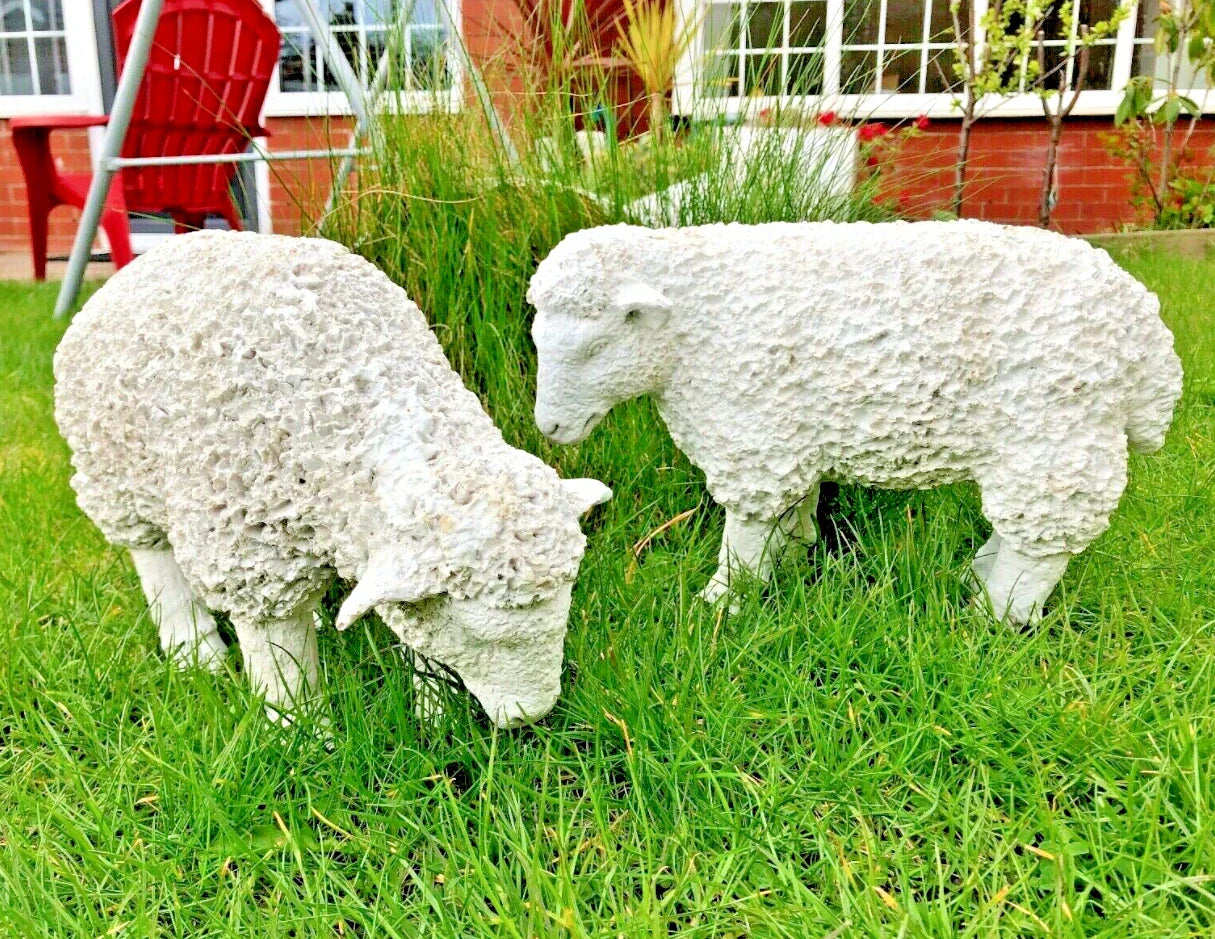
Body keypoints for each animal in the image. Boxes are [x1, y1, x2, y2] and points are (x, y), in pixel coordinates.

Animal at [55, 230, 610, 728]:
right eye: (481, 635)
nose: (528, 717)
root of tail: (139, 263)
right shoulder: (245, 544)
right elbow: (278, 653)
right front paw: (300, 734)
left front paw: (435, 713)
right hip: (116, 473)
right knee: (154, 560)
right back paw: (195, 652)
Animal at [527, 220, 1182, 625]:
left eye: (595, 349)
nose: (549, 429)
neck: (691, 329)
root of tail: (1149, 338)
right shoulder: (786, 438)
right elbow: (791, 514)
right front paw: (792, 564)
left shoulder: (754, 436)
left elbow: (746, 534)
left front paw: (724, 600)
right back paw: (976, 577)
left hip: (1056, 432)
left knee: (1043, 542)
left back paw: (994, 614)